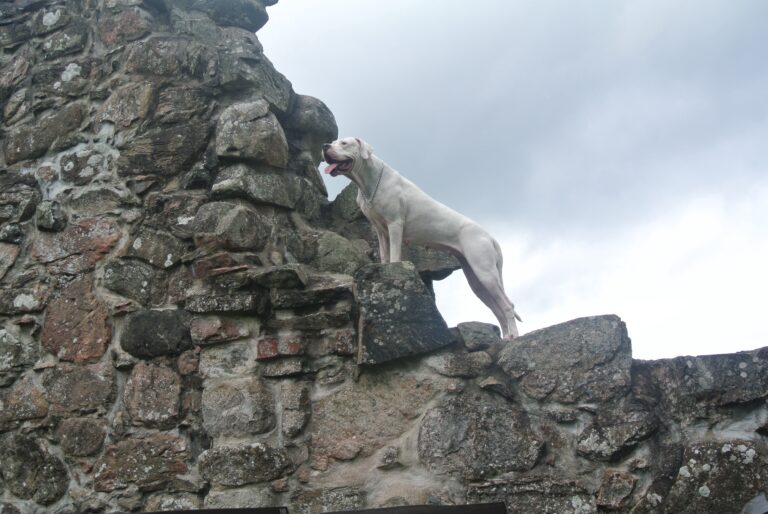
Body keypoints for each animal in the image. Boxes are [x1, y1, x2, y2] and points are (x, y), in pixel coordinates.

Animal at [320, 137, 520, 336]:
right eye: (334, 141)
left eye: (344, 143)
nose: (325, 146)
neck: (369, 179)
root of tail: (490, 237)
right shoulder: (380, 230)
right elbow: (384, 254)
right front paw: (382, 267)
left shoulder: (395, 224)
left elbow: (394, 254)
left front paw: (392, 268)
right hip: (476, 280)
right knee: (497, 309)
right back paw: (507, 337)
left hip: (485, 272)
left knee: (507, 306)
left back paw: (514, 337)